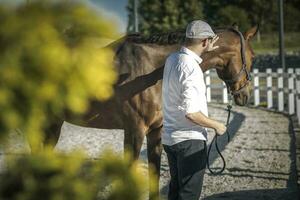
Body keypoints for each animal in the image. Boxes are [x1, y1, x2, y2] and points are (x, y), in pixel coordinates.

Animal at [47, 24, 258, 195]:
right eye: (253, 56)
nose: (245, 95)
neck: (152, 69)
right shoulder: (134, 131)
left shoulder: (155, 131)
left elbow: (154, 174)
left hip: (53, 124)